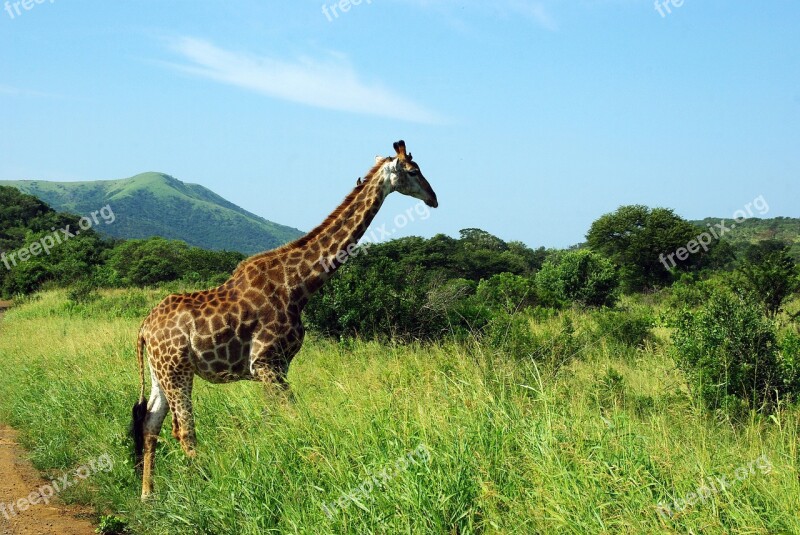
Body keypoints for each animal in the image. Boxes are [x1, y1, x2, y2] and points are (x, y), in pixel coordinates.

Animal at [134, 140, 440, 500]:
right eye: (414, 171)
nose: (434, 198)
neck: (299, 284)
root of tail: (143, 329)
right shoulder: (267, 362)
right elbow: (293, 417)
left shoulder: (276, 367)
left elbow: (274, 421)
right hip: (177, 370)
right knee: (184, 430)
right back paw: (203, 488)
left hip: (161, 372)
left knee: (151, 423)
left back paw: (148, 495)